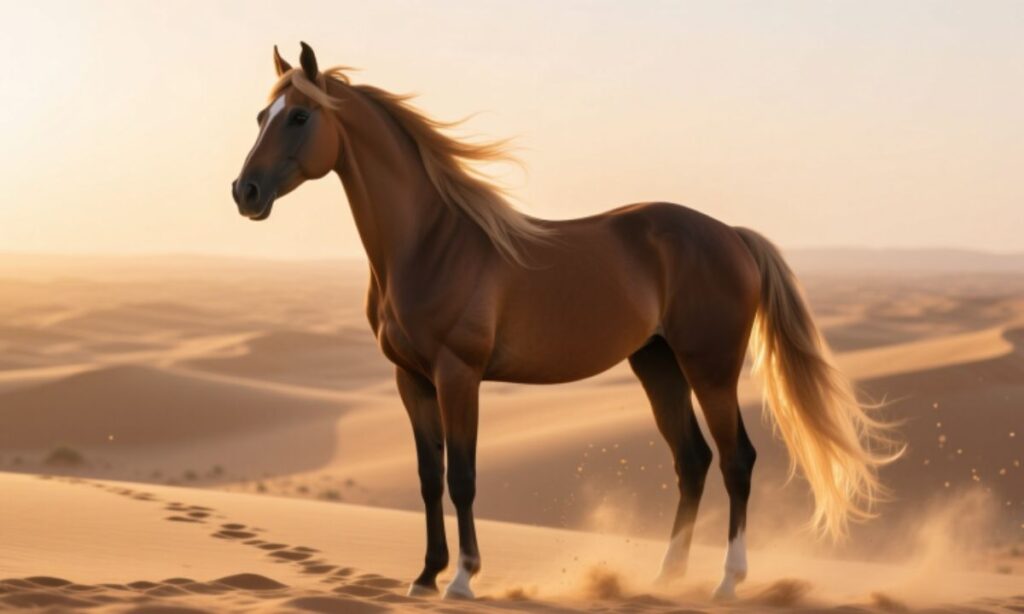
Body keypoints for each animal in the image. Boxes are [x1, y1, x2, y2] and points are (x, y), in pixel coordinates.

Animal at [231, 43, 898, 601]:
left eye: (299, 117)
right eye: (262, 115)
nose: (245, 192)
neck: (430, 243)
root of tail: (731, 235)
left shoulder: (457, 376)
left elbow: (463, 476)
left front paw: (463, 579)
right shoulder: (412, 380)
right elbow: (427, 477)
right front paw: (424, 575)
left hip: (710, 369)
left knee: (737, 461)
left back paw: (727, 583)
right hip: (657, 365)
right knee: (692, 461)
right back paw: (666, 576)